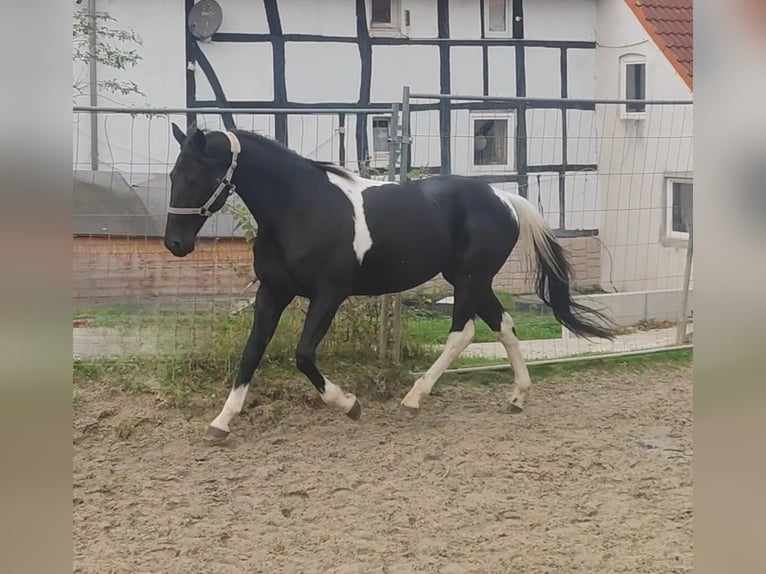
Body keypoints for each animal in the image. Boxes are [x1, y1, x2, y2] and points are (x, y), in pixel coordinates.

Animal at [165, 125, 616, 440]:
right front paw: (222, 422)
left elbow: (304, 355)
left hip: (470, 280)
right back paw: (518, 397)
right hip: (475, 280)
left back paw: (413, 400)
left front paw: (349, 405)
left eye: (194, 177)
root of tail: (505, 199)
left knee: (463, 333)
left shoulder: (329, 294)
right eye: (173, 175)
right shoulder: (272, 292)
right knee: (503, 326)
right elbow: (252, 352)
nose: (175, 243)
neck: (299, 208)